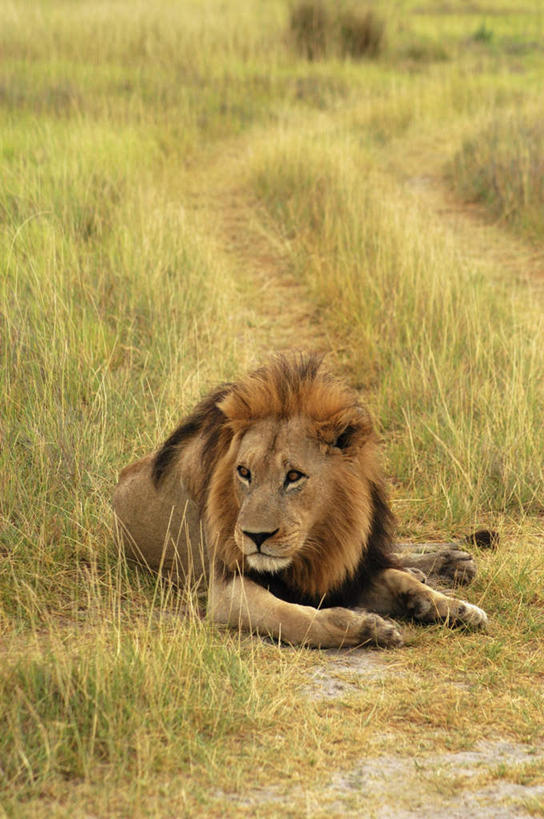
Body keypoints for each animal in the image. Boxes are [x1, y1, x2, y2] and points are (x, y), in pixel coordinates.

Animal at [112, 356, 486, 652]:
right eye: (244, 472)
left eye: (293, 476)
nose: (255, 536)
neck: (313, 546)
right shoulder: (227, 590)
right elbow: (292, 617)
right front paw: (367, 627)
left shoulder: (341, 571)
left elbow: (397, 579)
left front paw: (454, 607)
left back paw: (452, 562)